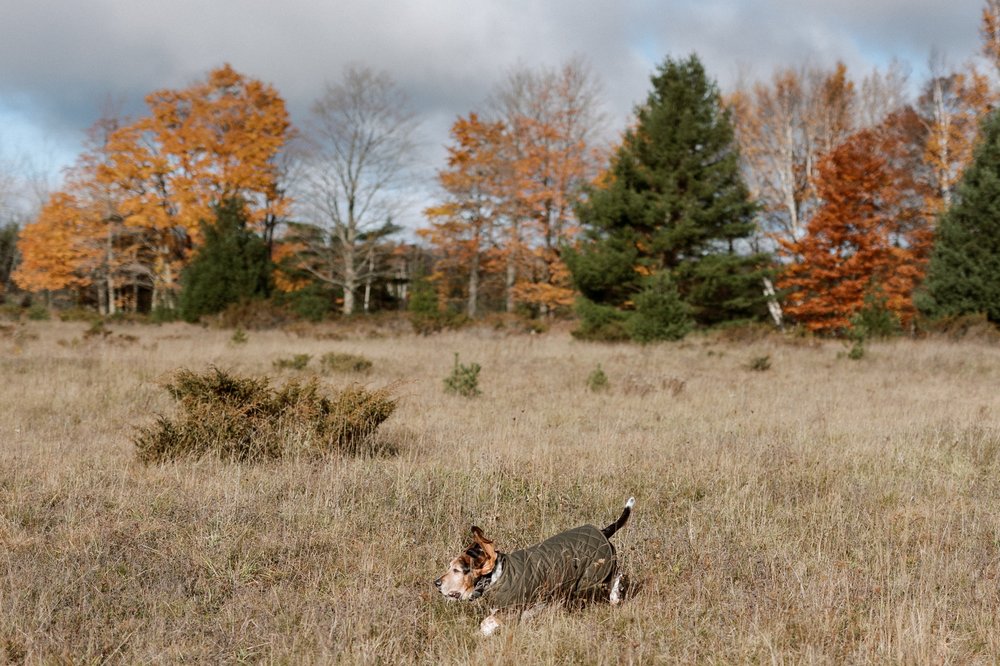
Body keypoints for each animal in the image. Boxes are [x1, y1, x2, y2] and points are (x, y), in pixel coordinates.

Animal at [434, 498, 636, 632]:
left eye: (457, 570)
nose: (436, 583)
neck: (497, 576)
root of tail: (603, 531)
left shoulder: (510, 610)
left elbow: (486, 623)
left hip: (600, 571)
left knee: (619, 575)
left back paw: (615, 597)